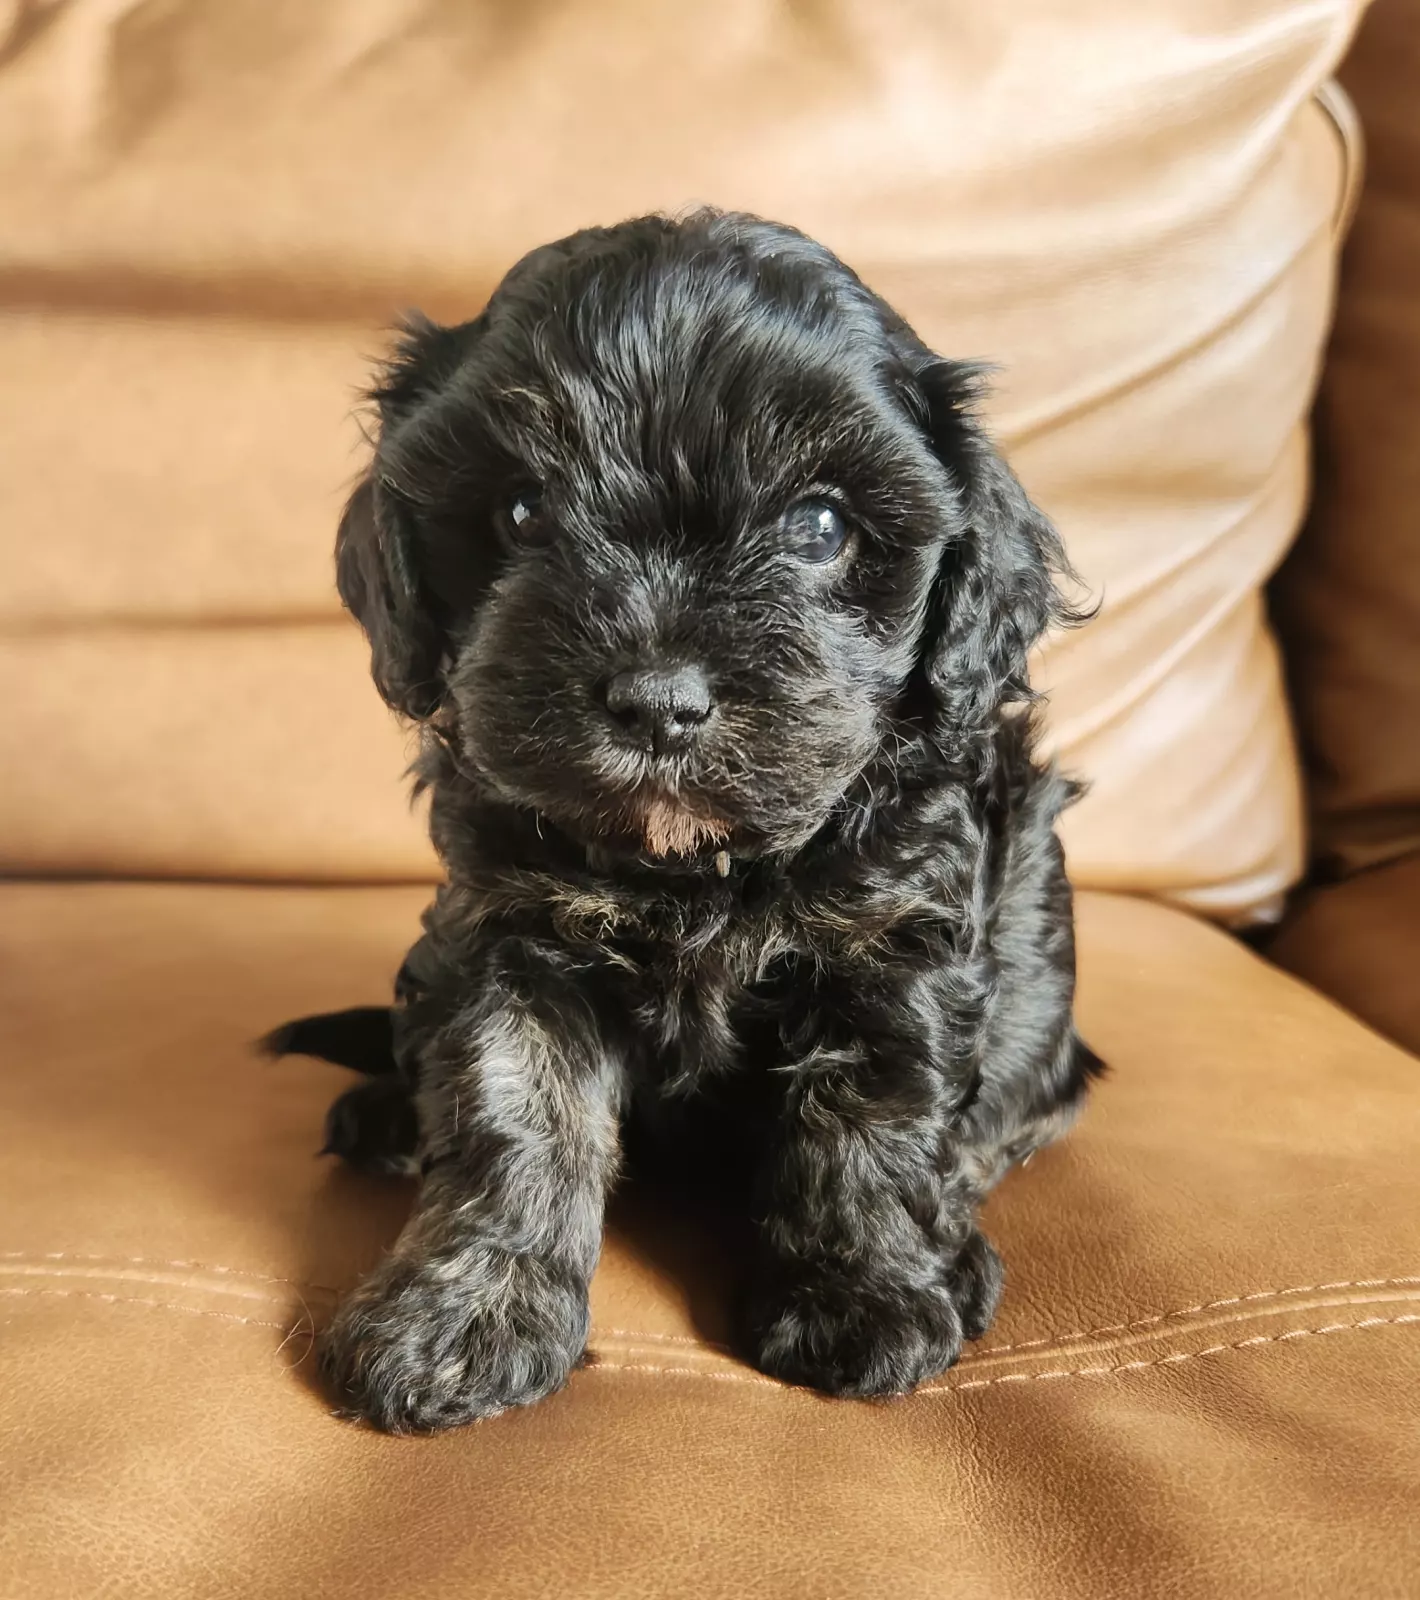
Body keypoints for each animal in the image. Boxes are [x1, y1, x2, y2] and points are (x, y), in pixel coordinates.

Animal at [266, 209, 1101, 1434]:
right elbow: (513, 1110)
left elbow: (876, 1110)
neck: (700, 868)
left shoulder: (896, 931)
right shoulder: (509, 931)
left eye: (820, 525)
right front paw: (465, 1316)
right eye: (522, 511)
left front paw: (869, 1293)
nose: (659, 700)